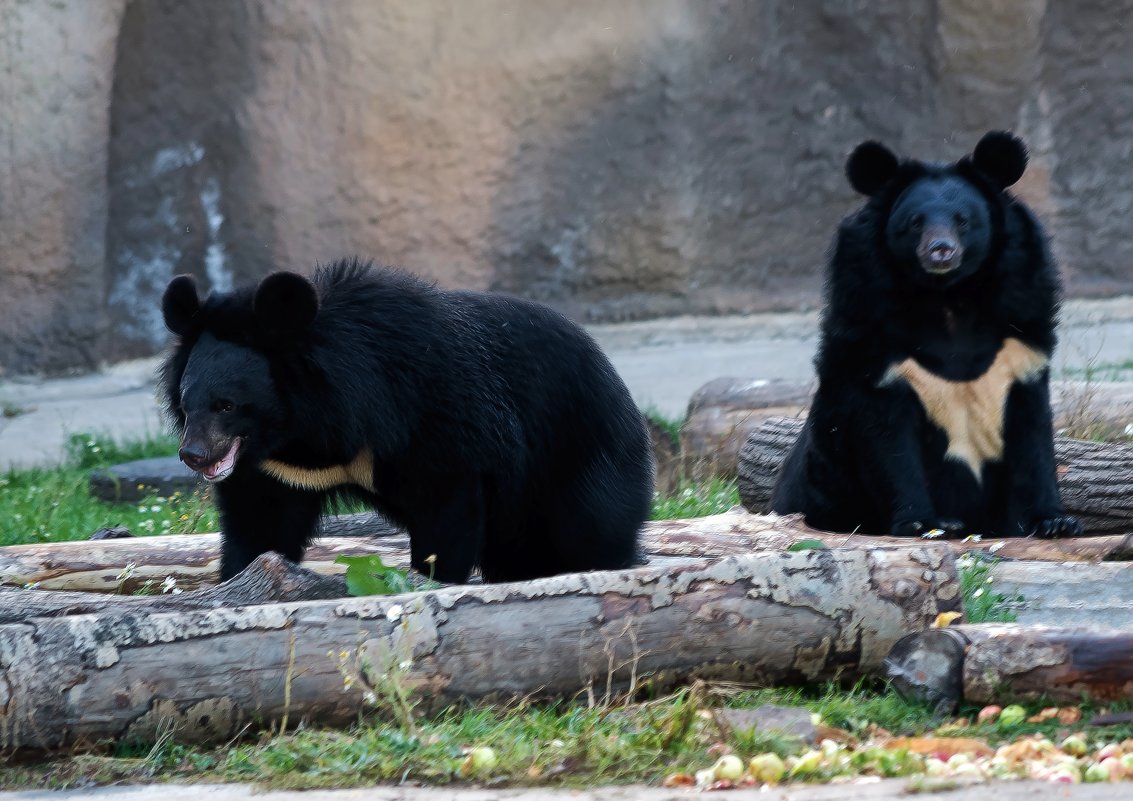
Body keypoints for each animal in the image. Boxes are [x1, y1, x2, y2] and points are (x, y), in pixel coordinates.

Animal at [160, 261, 657, 584]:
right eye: (187, 403)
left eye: (227, 405)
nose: (193, 455)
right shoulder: (278, 469)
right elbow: (261, 523)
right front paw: (239, 577)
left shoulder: (430, 421)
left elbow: (446, 512)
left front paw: (432, 581)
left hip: (580, 456)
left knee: (591, 527)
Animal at [774, 131, 1083, 541]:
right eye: (915, 223)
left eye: (963, 220)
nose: (941, 251)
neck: (947, 298)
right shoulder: (874, 342)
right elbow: (890, 444)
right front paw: (925, 523)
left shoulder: (1022, 341)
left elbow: (1033, 436)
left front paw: (1053, 521)